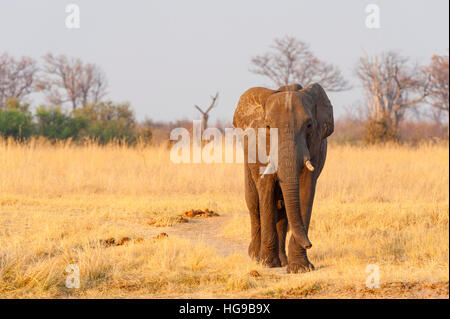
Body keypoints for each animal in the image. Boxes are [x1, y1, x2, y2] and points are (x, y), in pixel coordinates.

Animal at [234, 83, 332, 276]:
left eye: (309, 125)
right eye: (268, 127)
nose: (309, 244)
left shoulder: (315, 147)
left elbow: (306, 190)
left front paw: (300, 268)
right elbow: (266, 191)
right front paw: (267, 264)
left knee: (283, 210)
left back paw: (282, 261)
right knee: (254, 203)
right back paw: (255, 257)